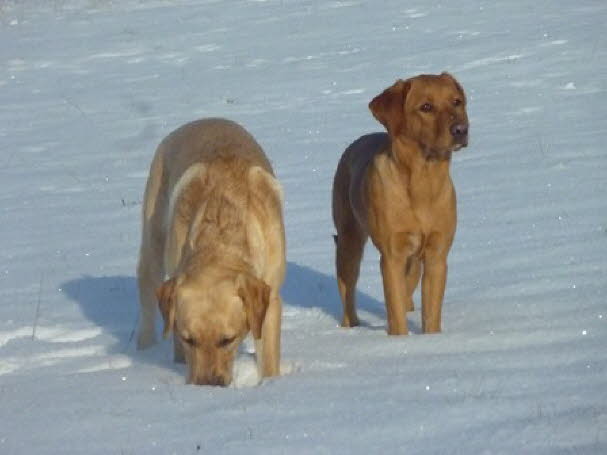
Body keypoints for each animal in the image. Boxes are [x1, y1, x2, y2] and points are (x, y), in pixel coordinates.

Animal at [332, 74, 470, 334]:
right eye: (426, 107)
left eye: (456, 101)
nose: (461, 130)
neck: (423, 183)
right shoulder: (392, 255)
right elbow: (395, 312)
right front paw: (400, 340)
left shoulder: (437, 254)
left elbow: (430, 312)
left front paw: (432, 338)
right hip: (349, 241)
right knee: (347, 292)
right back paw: (351, 328)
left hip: (414, 260)